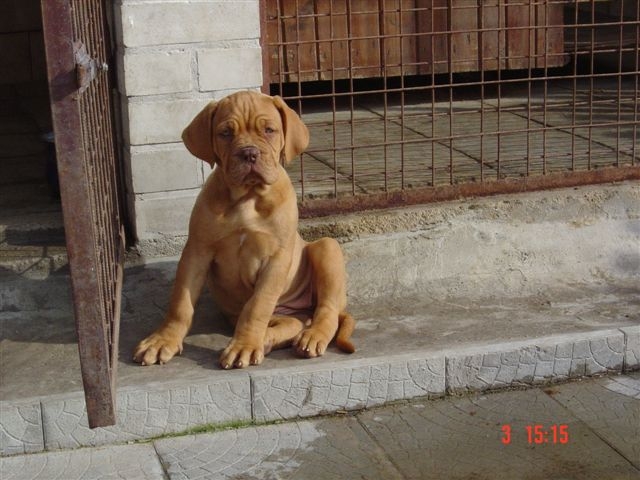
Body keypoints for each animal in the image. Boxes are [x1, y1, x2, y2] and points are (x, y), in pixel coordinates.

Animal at [133, 91, 355, 369]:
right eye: (225, 133)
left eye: (269, 130)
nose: (249, 153)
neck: (247, 197)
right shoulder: (197, 251)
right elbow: (181, 303)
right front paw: (163, 340)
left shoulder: (276, 258)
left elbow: (257, 305)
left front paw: (244, 346)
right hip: (287, 313)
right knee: (294, 323)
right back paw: (270, 338)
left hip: (327, 248)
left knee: (327, 311)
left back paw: (309, 336)